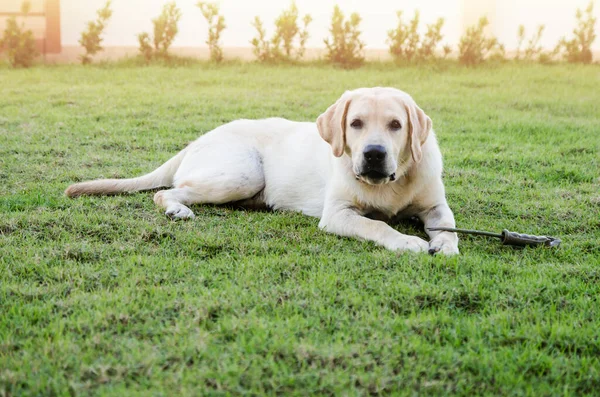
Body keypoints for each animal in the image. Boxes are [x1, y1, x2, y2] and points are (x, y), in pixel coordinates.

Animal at [65, 87, 460, 255]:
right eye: (356, 123)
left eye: (395, 125)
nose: (374, 154)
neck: (390, 184)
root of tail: (197, 140)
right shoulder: (337, 214)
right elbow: (376, 225)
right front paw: (407, 241)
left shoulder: (435, 206)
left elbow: (448, 226)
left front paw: (444, 244)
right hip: (243, 174)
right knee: (167, 191)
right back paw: (177, 209)